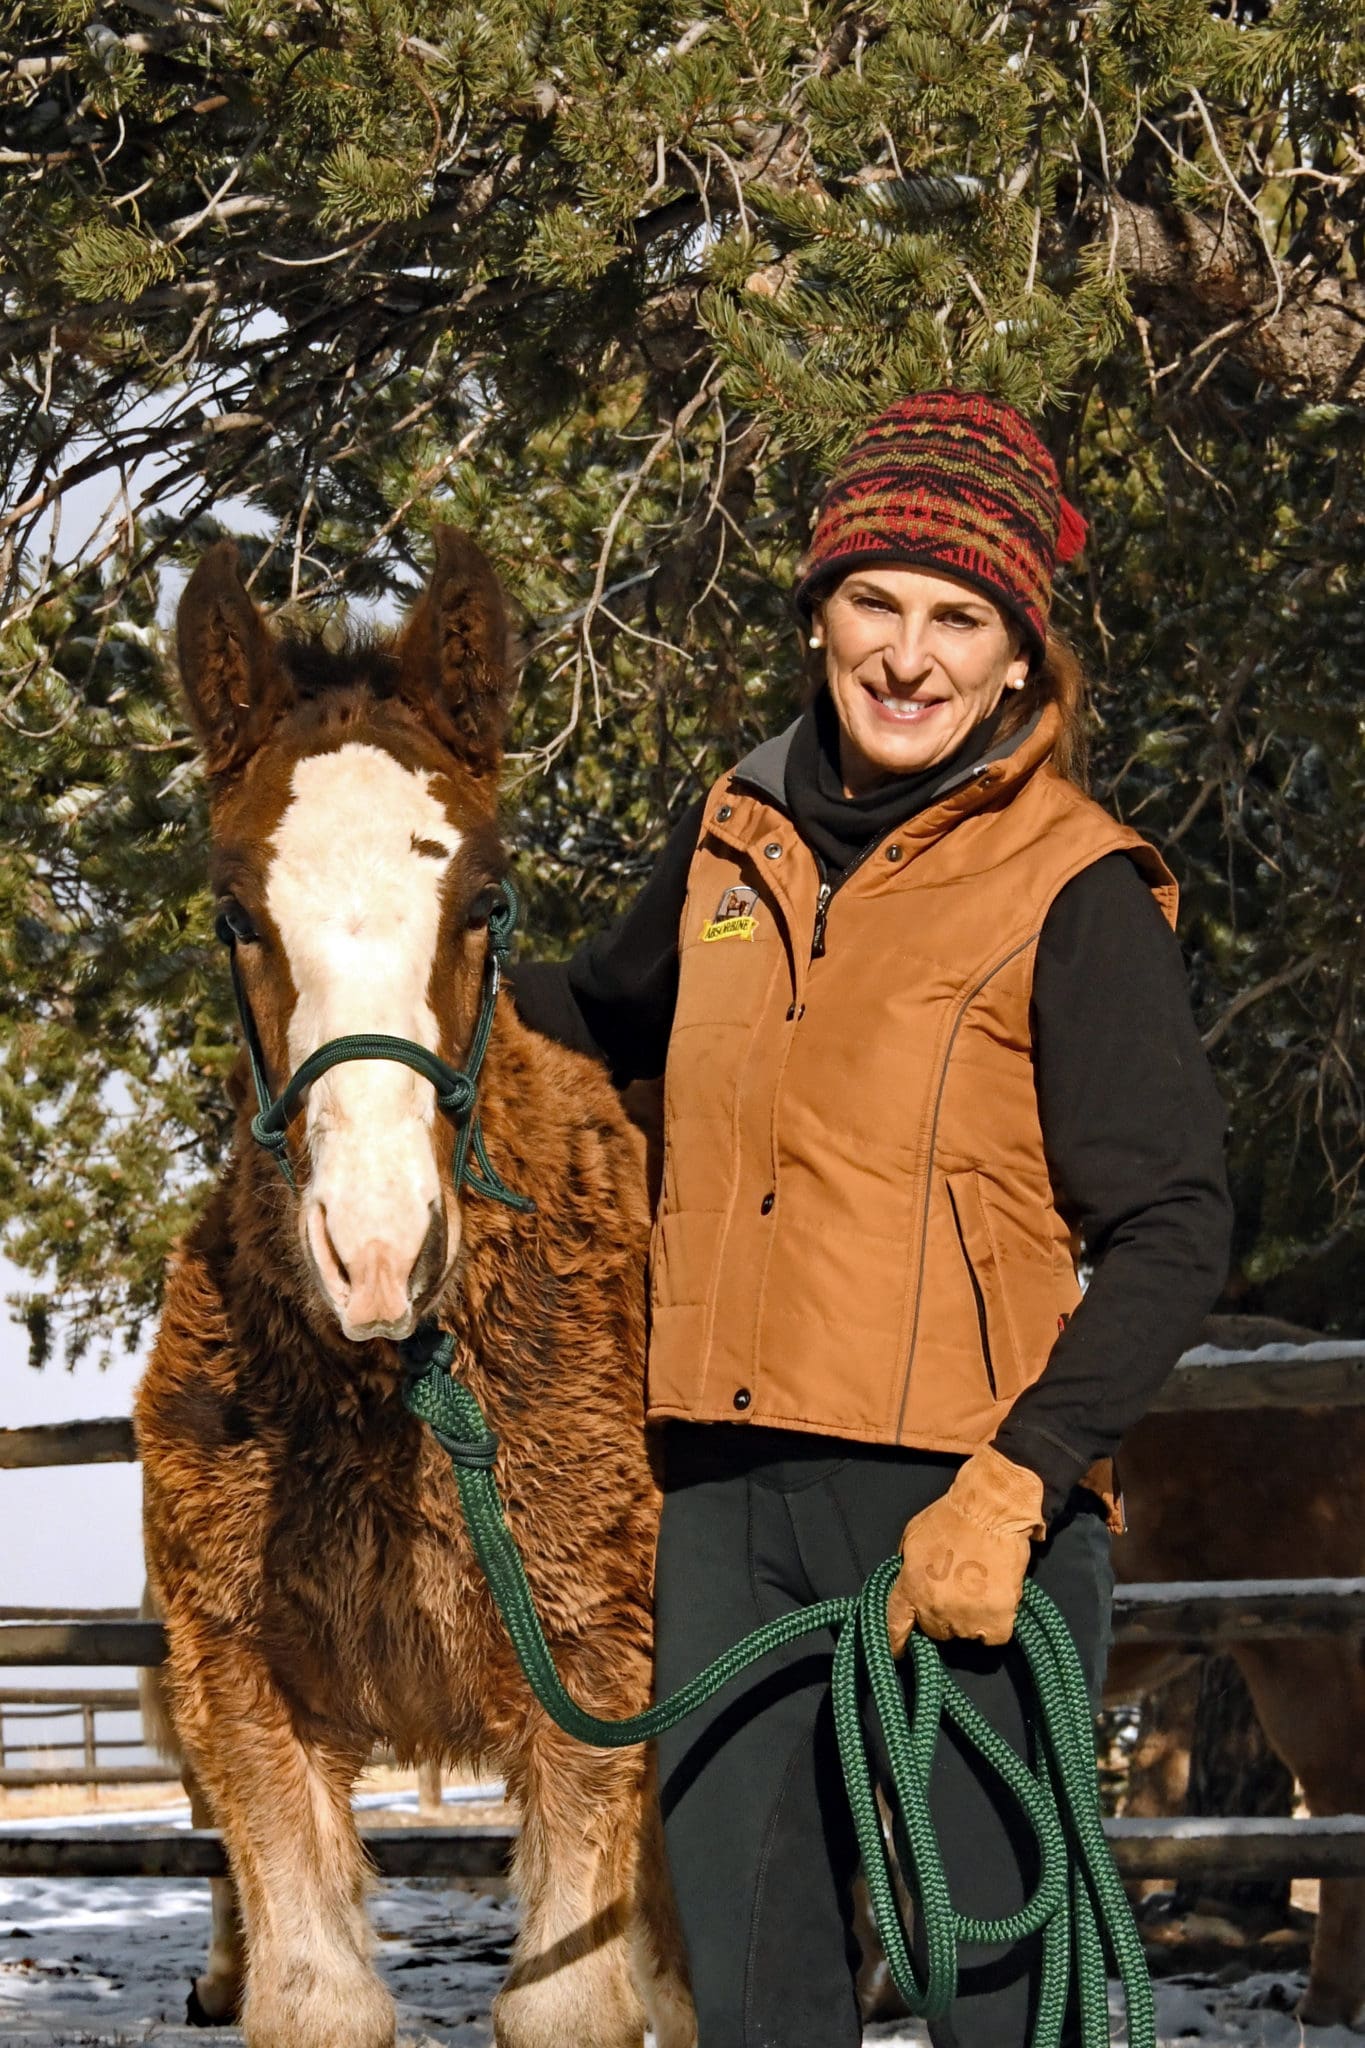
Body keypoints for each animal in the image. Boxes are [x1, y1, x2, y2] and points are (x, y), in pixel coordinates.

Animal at [133, 532, 695, 2048]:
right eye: (234, 911)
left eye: (484, 899)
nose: (379, 1250)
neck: (402, 1399)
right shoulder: (243, 1694)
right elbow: (313, 1998)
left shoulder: (596, 1679)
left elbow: (571, 2007)